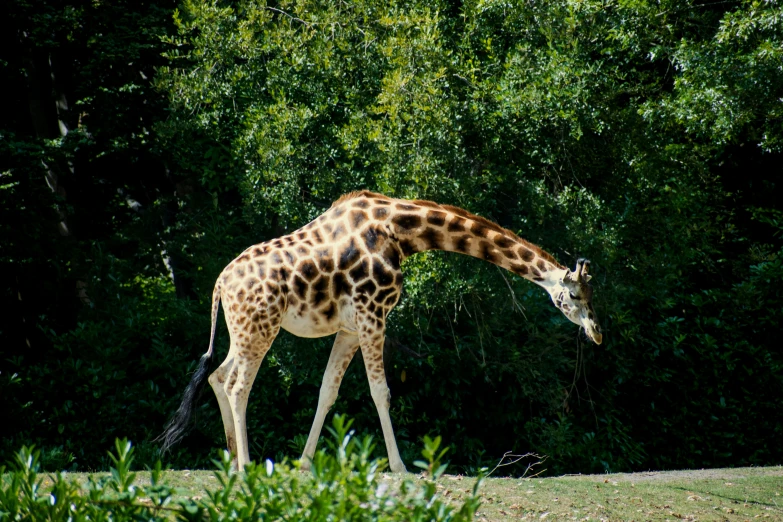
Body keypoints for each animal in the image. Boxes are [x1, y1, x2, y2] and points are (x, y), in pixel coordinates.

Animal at [158, 190, 600, 472]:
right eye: (574, 294)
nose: (596, 332)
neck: (401, 232)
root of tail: (219, 283)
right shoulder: (374, 315)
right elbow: (380, 392)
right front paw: (401, 466)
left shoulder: (351, 328)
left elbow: (327, 392)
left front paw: (304, 464)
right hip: (260, 328)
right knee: (238, 386)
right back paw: (247, 465)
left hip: (243, 330)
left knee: (218, 375)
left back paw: (233, 461)